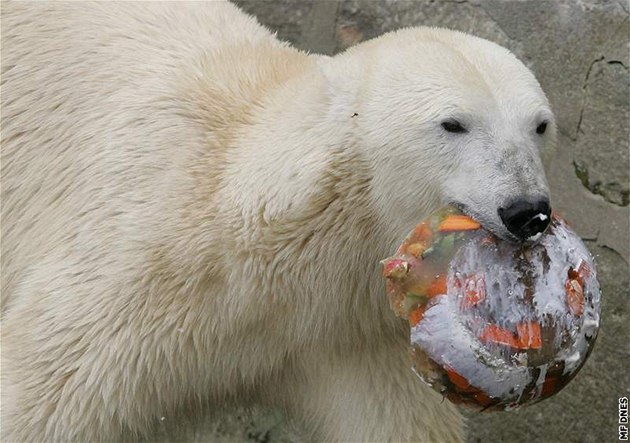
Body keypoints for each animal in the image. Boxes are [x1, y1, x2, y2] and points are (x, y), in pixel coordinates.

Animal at [3, 1, 556, 442]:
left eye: (540, 125)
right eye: (453, 123)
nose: (527, 210)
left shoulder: (344, 336)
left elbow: (395, 421)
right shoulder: (145, 268)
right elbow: (48, 389)